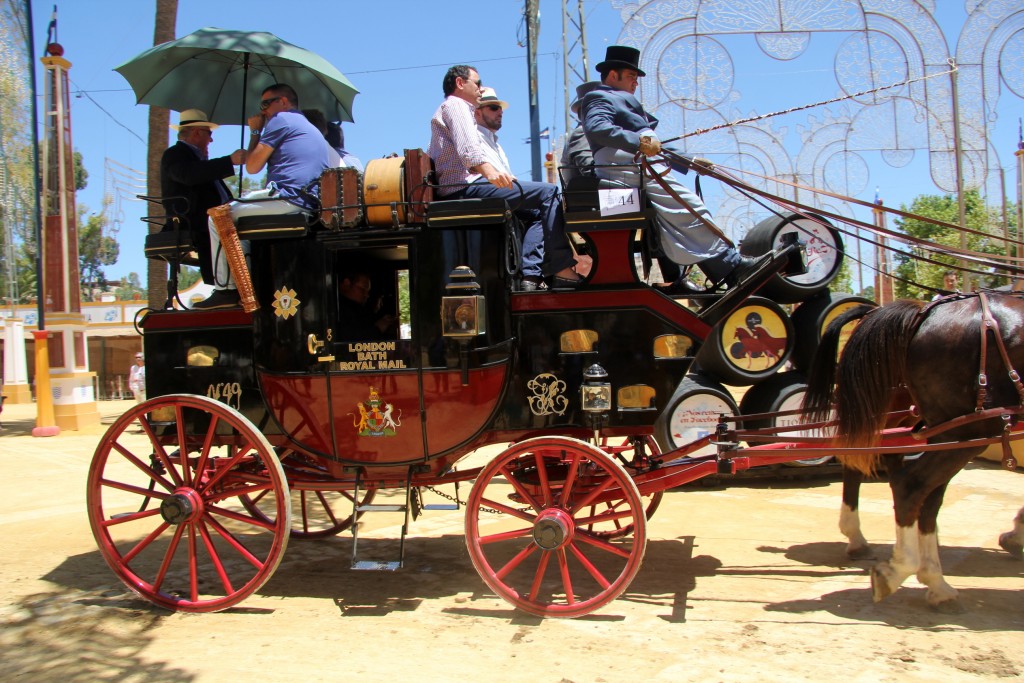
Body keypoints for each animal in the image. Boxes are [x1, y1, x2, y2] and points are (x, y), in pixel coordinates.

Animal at [802, 290, 1024, 610]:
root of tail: (921, 314)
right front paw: (1016, 536)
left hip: (937, 428)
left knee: (916, 487)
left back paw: (932, 578)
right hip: (966, 428)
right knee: (909, 483)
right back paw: (898, 566)